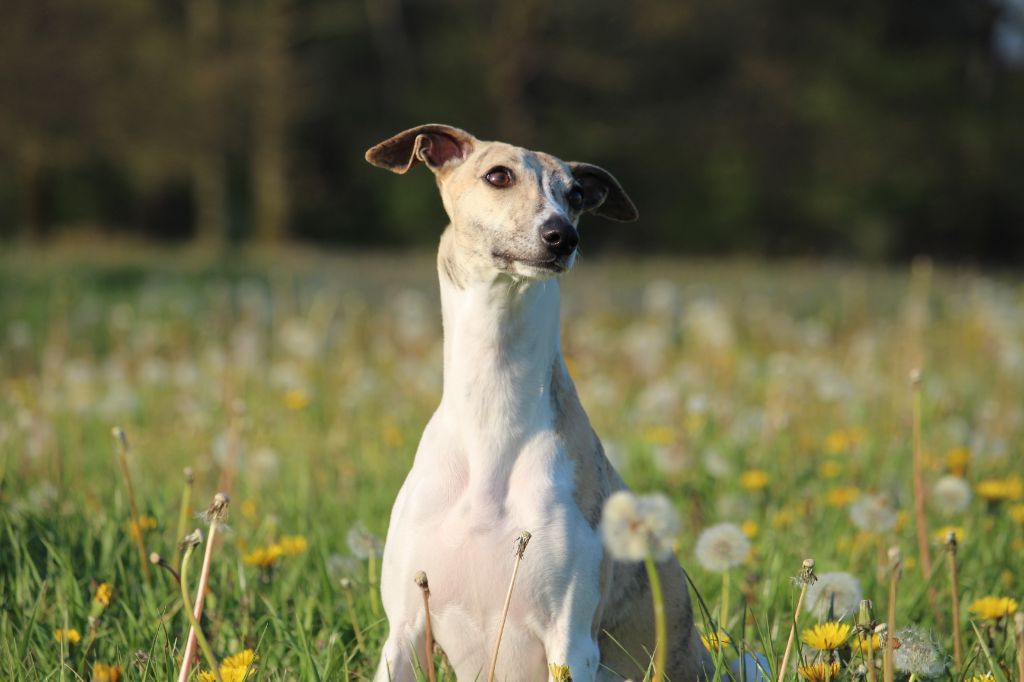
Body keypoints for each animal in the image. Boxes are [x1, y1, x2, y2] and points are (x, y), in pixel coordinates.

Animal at [368, 123, 712, 679]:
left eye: (576, 195)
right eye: (498, 175)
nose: (563, 237)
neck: (493, 418)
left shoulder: (570, 639)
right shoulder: (405, 632)